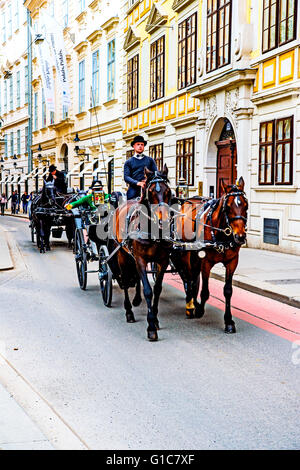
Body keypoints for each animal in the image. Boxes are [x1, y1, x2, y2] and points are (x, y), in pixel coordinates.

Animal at [113, 166, 172, 342]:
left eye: (168, 191)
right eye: (151, 191)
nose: (163, 220)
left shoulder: (162, 261)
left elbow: (157, 289)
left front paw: (155, 319)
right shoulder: (140, 259)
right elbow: (148, 290)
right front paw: (151, 326)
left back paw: (137, 300)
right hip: (122, 255)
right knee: (126, 281)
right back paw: (129, 312)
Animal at [172, 177, 247, 334]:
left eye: (246, 205)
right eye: (228, 207)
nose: (240, 236)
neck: (221, 234)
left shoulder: (232, 262)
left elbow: (228, 290)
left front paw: (228, 321)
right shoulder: (205, 261)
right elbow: (205, 291)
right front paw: (199, 309)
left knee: (193, 278)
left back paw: (193, 301)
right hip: (186, 252)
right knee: (188, 276)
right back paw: (190, 304)